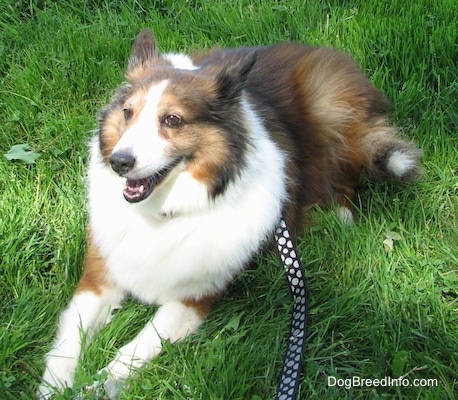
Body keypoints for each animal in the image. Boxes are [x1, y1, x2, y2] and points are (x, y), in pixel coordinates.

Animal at [37, 29, 420, 398]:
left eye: (172, 119)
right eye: (128, 113)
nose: (119, 162)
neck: (168, 212)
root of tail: (315, 49)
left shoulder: (193, 298)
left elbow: (130, 352)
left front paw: (93, 388)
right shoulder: (99, 279)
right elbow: (67, 344)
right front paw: (54, 388)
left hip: (331, 108)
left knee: (348, 175)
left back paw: (339, 217)